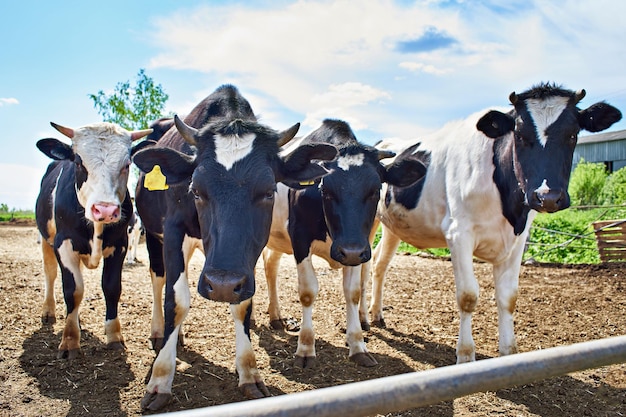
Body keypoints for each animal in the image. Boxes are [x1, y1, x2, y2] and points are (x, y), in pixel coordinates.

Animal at [36, 119, 154, 358]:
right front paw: (70, 341)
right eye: (78, 161)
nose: (105, 209)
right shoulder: (64, 244)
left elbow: (111, 287)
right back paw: (50, 311)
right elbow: (73, 290)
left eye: (127, 164)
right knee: (51, 275)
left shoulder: (120, 244)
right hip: (46, 240)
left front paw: (114, 336)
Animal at [130, 84, 336, 410]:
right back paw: (159, 332)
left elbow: (242, 305)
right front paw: (160, 379)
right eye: (196, 190)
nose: (222, 284)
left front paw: (249, 372)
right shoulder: (173, 231)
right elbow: (175, 300)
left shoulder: (245, 261)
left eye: (268, 192)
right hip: (152, 234)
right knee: (159, 279)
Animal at [260, 118, 426, 368]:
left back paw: (276, 316)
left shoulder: (357, 248)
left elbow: (353, 292)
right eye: (325, 189)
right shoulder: (300, 237)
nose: (349, 250)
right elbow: (308, 291)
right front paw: (305, 348)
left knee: (271, 267)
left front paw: (358, 345)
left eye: (375, 189)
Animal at [370, 84, 620, 364]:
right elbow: (468, 296)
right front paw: (465, 355)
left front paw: (509, 352)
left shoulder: (517, 240)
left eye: (573, 134)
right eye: (519, 135)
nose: (547, 196)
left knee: (380, 264)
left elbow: (508, 297)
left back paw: (376, 313)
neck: (508, 205)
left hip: (393, 226)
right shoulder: (459, 234)